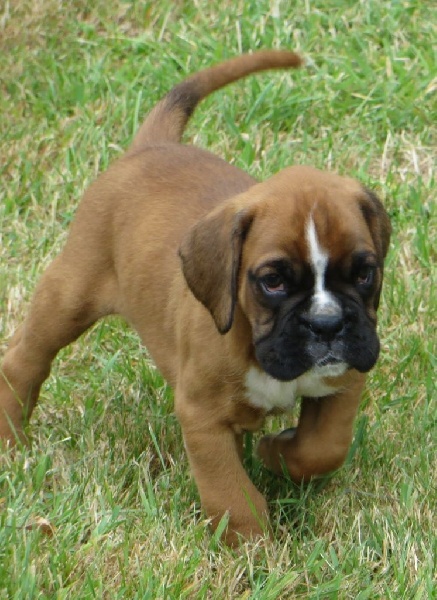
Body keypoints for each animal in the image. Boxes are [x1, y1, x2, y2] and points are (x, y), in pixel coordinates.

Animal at [0, 50, 391, 545]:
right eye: (273, 281)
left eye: (364, 273)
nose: (327, 325)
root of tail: (150, 147)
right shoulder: (201, 414)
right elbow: (229, 490)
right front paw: (251, 546)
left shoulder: (345, 378)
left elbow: (325, 448)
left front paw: (278, 452)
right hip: (70, 294)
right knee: (24, 359)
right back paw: (10, 439)